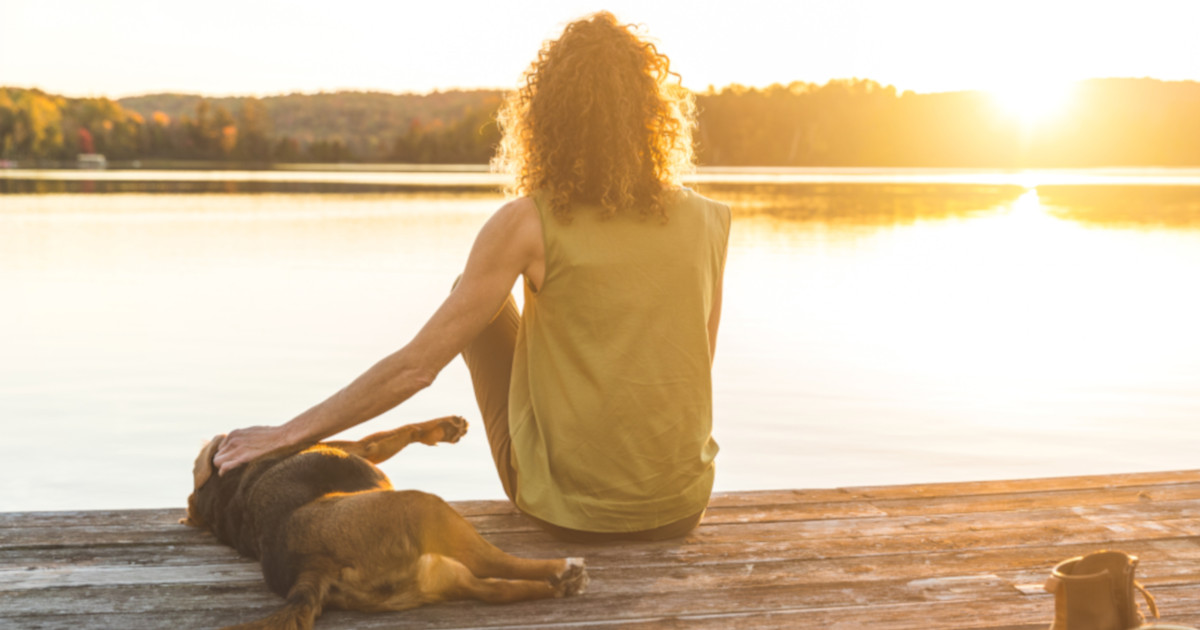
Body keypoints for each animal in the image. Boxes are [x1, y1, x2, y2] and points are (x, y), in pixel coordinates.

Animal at [181, 415, 585, 624]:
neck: (223, 491)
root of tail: (309, 568)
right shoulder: (359, 447)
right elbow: (395, 432)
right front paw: (443, 427)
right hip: (426, 508)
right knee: (493, 561)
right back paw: (564, 568)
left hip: (440, 576)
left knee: (495, 589)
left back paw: (557, 588)